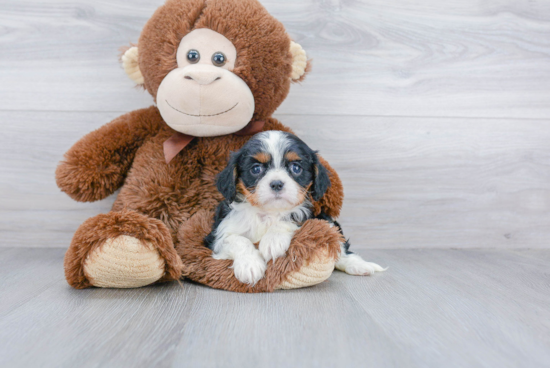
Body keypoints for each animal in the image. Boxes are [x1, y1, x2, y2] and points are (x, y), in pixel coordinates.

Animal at [204, 131, 388, 286]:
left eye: (296, 168)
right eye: (256, 169)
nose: (276, 184)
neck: (269, 212)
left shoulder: (310, 215)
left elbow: (290, 219)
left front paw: (273, 241)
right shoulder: (216, 236)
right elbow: (237, 240)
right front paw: (249, 265)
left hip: (327, 221)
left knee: (341, 249)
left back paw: (359, 265)